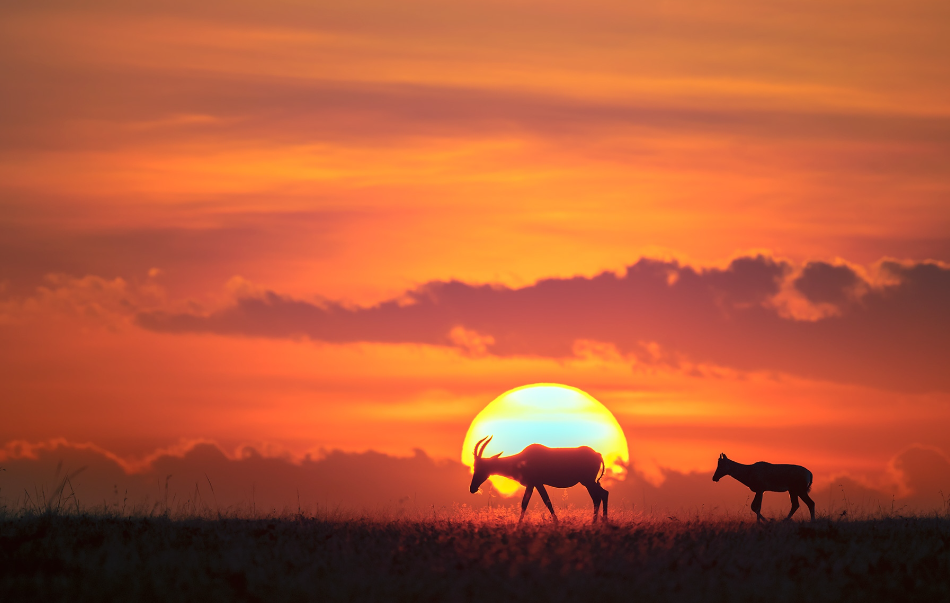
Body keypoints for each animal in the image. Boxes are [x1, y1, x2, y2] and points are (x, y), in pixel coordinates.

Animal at [468, 436, 608, 520]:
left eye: (480, 467)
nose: (472, 488)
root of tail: (598, 454)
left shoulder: (537, 483)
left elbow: (545, 502)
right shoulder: (532, 485)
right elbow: (526, 504)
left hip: (588, 482)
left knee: (601, 495)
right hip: (590, 482)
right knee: (600, 496)